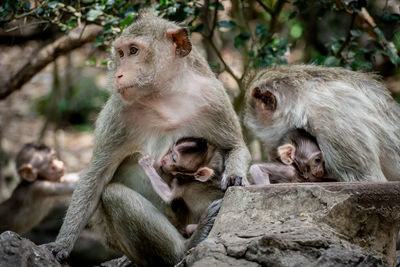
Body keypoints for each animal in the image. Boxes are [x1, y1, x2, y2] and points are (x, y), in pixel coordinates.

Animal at [43, 9, 250, 266]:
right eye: (121, 53)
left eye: (134, 50)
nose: (118, 74)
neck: (164, 97)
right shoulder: (117, 112)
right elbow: (96, 175)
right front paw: (61, 244)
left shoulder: (214, 98)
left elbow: (234, 147)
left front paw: (234, 177)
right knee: (114, 195)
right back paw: (185, 247)